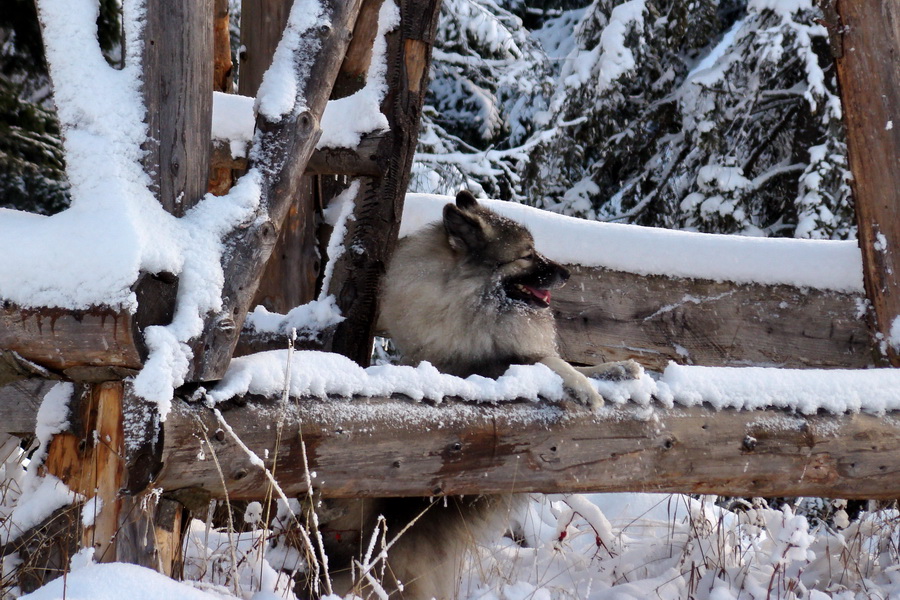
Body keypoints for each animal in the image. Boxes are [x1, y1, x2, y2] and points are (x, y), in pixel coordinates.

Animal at [316, 192, 640, 600]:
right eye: (527, 255)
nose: (567, 273)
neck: (470, 299)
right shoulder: (489, 365)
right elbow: (548, 360)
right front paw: (585, 389)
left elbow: (569, 362)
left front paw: (615, 370)